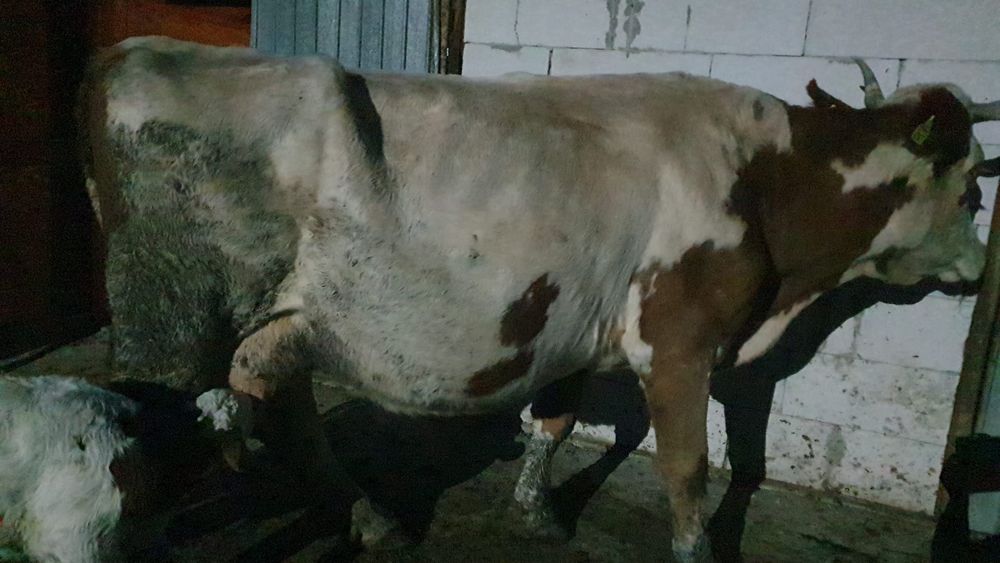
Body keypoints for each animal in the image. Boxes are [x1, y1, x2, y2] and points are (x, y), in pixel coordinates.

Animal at [80, 37, 995, 561]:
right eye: (974, 188)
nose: (982, 267)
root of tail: (131, 52)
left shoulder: (575, 322)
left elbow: (553, 419)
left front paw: (537, 511)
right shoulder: (682, 337)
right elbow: (690, 464)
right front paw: (695, 550)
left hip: (284, 318)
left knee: (284, 409)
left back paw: (370, 516)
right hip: (171, 323)